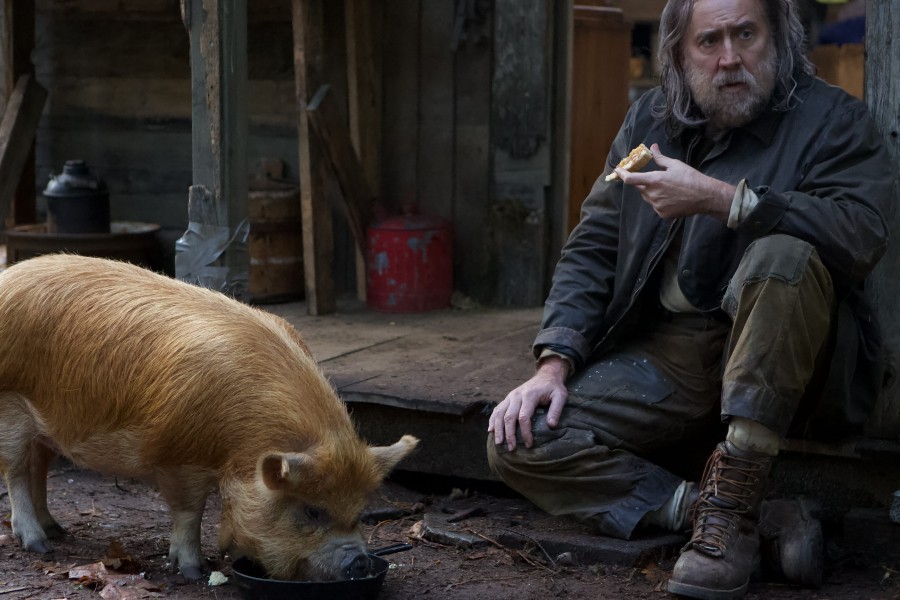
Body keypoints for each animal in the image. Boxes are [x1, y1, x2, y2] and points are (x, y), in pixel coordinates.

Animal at [0, 253, 418, 581]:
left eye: (359, 513)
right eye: (313, 511)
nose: (360, 563)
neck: (241, 443)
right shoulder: (178, 455)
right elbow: (190, 511)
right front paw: (193, 571)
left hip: (43, 426)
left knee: (38, 467)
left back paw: (57, 532)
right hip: (10, 407)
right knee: (16, 472)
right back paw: (39, 546)